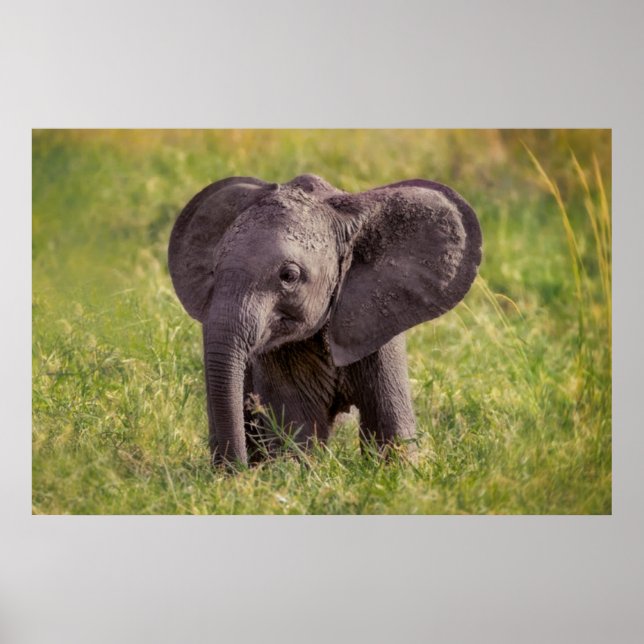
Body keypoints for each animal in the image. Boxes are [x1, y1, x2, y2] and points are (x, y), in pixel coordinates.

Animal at [168, 174, 482, 467]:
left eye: (289, 276)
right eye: (214, 270)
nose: (238, 472)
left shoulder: (378, 326)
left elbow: (389, 428)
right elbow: (297, 429)